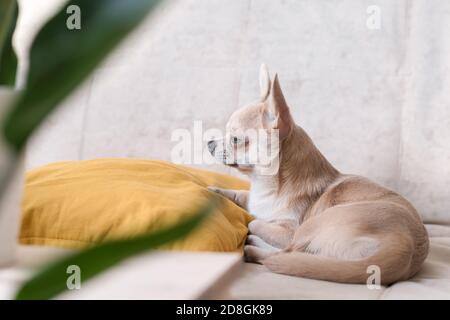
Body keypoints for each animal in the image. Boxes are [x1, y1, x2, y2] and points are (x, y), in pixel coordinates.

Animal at [207, 63, 428, 284]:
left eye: (235, 139)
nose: (209, 142)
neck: (265, 185)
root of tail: (405, 247)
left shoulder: (288, 230)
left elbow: (254, 221)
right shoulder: (254, 200)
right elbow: (241, 194)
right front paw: (215, 191)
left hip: (312, 225)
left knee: (285, 252)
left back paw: (252, 247)